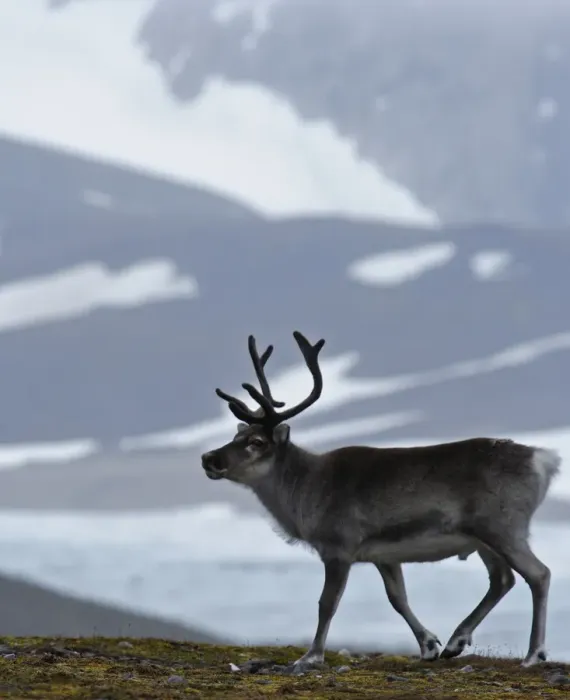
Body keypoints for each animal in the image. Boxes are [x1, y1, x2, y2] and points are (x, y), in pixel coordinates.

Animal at [201, 331, 561, 670]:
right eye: (235, 435)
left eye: (257, 442)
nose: (208, 458)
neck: (304, 491)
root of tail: (543, 460)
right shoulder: (383, 555)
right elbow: (397, 598)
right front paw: (429, 646)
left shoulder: (339, 547)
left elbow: (327, 603)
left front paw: (310, 657)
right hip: (483, 539)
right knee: (502, 579)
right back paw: (455, 642)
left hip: (503, 527)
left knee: (538, 573)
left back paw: (533, 654)